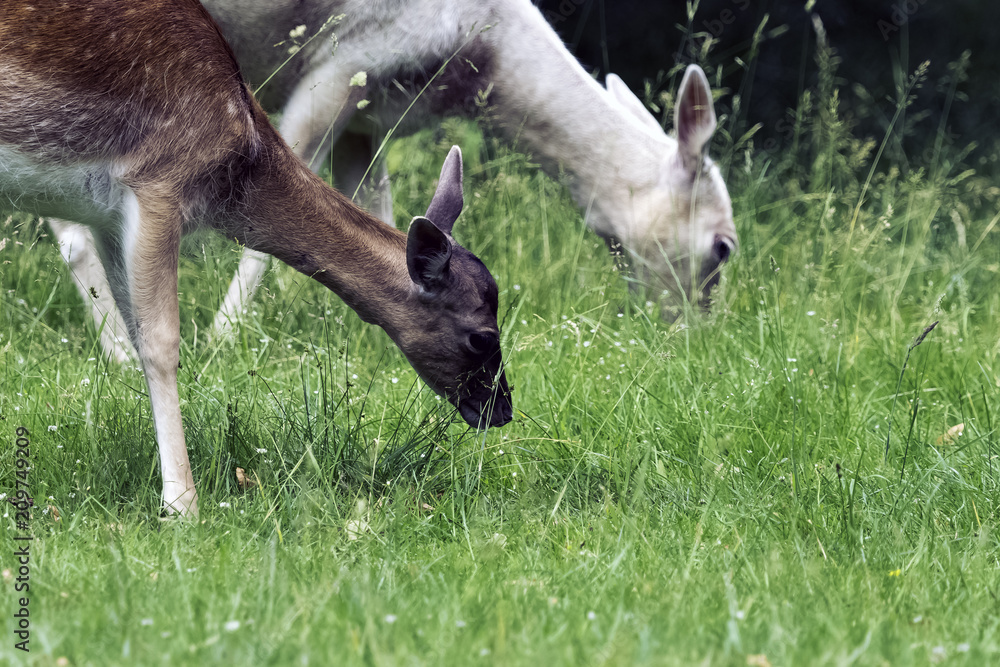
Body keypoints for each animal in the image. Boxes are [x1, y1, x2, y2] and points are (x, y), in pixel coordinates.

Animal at [0, 0, 513, 516]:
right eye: (482, 337)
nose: (503, 409)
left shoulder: (106, 217)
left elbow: (134, 332)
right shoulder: (158, 182)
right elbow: (162, 343)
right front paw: (183, 505)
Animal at [47, 0, 738, 364]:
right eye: (722, 248)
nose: (695, 341)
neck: (478, 58)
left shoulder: (372, 115)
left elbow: (382, 210)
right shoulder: (343, 58)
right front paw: (224, 337)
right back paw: (118, 350)